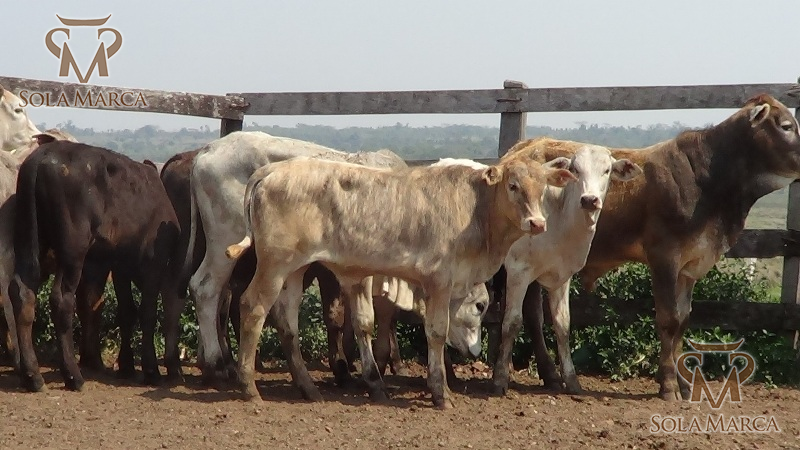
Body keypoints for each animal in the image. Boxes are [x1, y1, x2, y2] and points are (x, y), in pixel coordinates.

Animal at [9, 141, 183, 392]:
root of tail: (43, 155)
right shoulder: (154, 262)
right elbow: (147, 312)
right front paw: (151, 370)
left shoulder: (118, 266)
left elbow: (126, 311)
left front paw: (127, 365)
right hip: (72, 251)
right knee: (62, 300)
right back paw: (73, 376)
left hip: (29, 242)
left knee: (23, 292)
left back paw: (32, 375)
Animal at [225, 154, 576, 409]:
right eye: (513, 186)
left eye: (543, 187)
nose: (537, 222)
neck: (476, 210)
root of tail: (272, 169)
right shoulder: (439, 280)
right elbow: (436, 333)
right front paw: (440, 393)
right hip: (274, 265)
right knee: (252, 307)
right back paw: (248, 386)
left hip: (294, 271)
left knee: (287, 322)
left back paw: (309, 388)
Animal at [442, 147, 643, 395]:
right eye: (575, 169)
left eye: (607, 170)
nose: (589, 200)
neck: (558, 220)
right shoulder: (518, 271)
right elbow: (512, 322)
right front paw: (500, 379)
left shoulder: (561, 277)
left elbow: (561, 324)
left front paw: (571, 380)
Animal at [510, 94, 800, 401]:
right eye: (786, 126)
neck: (708, 180)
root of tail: (523, 147)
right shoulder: (664, 258)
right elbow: (668, 319)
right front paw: (669, 385)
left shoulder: (689, 267)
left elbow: (683, 320)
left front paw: (685, 385)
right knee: (533, 314)